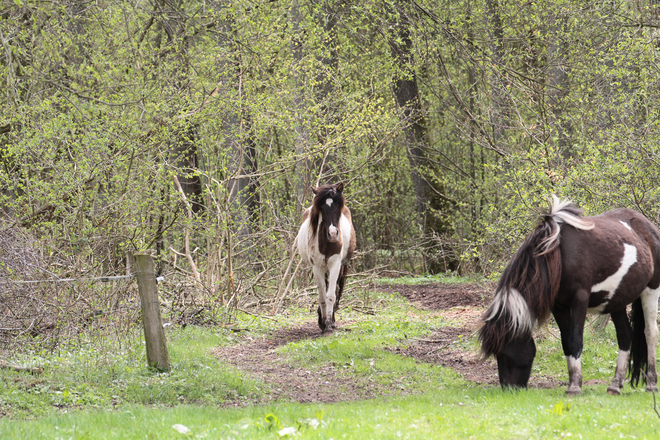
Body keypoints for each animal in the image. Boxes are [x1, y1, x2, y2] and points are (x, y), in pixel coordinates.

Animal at [296, 182, 356, 334]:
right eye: (321, 207)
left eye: (338, 206)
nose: (333, 234)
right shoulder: (317, 267)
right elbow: (322, 296)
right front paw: (323, 322)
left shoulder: (335, 264)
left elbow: (331, 295)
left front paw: (329, 324)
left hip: (341, 266)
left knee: (335, 290)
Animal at [476, 196, 660, 396]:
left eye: (505, 353)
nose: (510, 389)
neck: (557, 254)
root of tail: (648, 228)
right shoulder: (558, 306)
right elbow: (566, 343)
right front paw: (574, 382)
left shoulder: (579, 299)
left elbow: (575, 341)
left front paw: (574, 388)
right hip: (616, 300)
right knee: (625, 336)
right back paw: (615, 385)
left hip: (651, 290)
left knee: (650, 333)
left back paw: (651, 383)